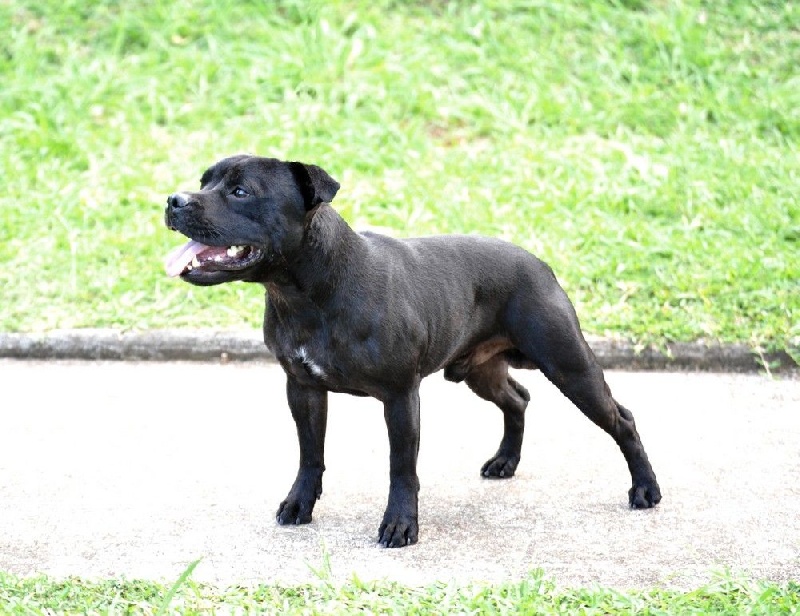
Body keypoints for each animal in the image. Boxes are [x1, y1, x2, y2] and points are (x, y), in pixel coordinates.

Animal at [164, 155, 661, 547]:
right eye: (205, 181)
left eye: (240, 191)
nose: (174, 200)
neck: (308, 289)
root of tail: (539, 263)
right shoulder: (302, 388)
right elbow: (310, 454)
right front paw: (299, 503)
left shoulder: (400, 396)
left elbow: (401, 466)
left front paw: (400, 526)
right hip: (478, 370)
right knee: (517, 398)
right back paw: (505, 461)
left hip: (568, 365)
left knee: (621, 419)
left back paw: (646, 490)